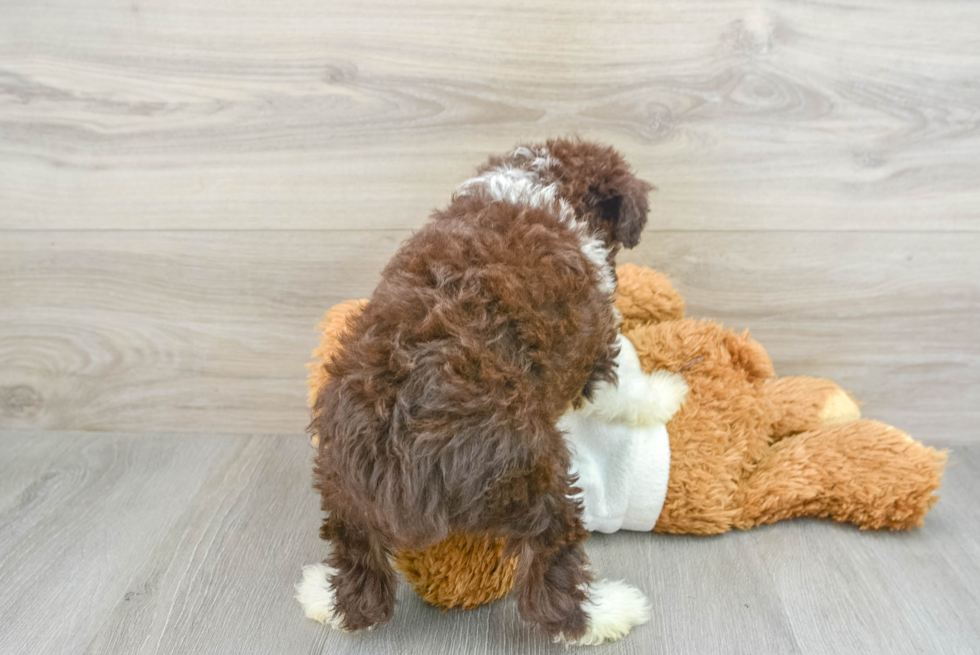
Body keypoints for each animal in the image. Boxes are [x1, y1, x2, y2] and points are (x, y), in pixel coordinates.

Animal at [294, 140, 656, 644]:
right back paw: (609, 613)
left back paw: (325, 600)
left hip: (339, 480)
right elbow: (625, 385)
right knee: (550, 575)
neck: (541, 182)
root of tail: (397, 454)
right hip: (533, 472)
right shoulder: (595, 348)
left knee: (357, 566)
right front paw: (664, 395)